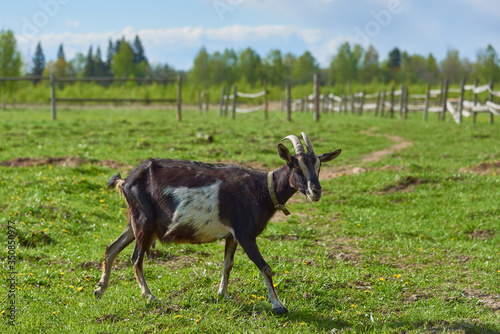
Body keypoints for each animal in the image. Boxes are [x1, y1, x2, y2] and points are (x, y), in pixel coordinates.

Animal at [94, 132, 340, 314]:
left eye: (318, 166)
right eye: (296, 166)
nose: (316, 191)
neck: (260, 189)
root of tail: (125, 180)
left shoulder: (232, 235)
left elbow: (227, 264)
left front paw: (222, 294)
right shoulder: (245, 233)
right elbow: (265, 267)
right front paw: (278, 305)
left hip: (135, 221)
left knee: (111, 248)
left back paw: (100, 289)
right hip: (144, 221)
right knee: (136, 258)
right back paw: (150, 297)